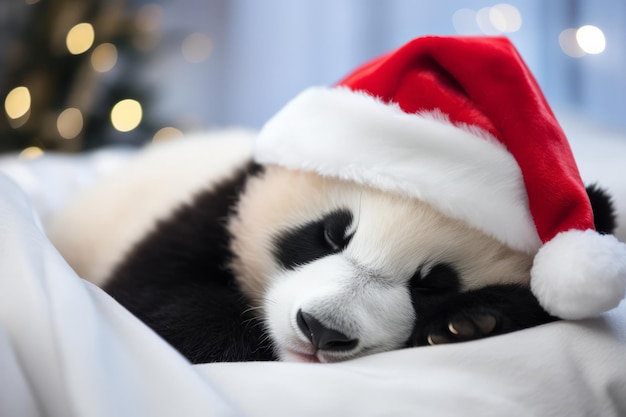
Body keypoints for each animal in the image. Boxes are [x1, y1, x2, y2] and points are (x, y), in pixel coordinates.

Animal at [48, 128, 616, 362]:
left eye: (431, 284)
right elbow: (147, 299)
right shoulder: (212, 214)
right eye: (329, 234)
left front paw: (470, 322)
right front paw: (235, 344)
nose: (322, 330)